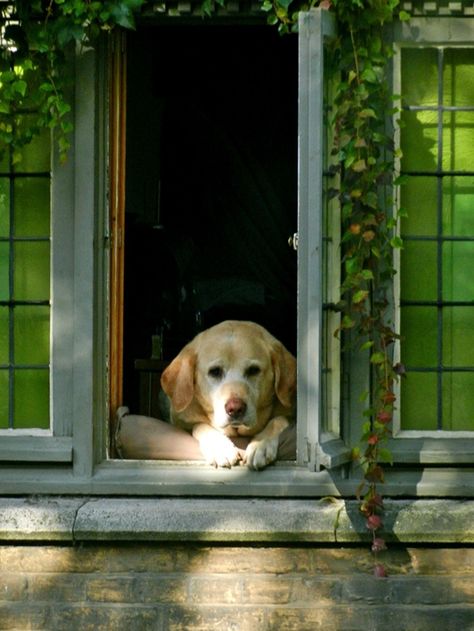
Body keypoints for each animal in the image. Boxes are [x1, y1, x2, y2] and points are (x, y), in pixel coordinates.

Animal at [161, 320, 294, 470]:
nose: (235, 408)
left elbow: (279, 420)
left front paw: (261, 444)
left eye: (253, 370)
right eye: (215, 371)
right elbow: (200, 425)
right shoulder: (182, 421)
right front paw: (220, 448)